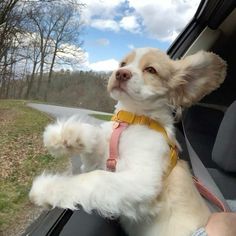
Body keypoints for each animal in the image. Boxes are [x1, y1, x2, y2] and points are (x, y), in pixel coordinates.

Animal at [29, 48, 227, 236]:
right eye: (123, 64)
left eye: (151, 70)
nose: (121, 73)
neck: (132, 118)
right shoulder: (101, 159)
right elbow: (94, 135)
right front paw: (64, 135)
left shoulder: (142, 180)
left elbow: (94, 178)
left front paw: (46, 189)